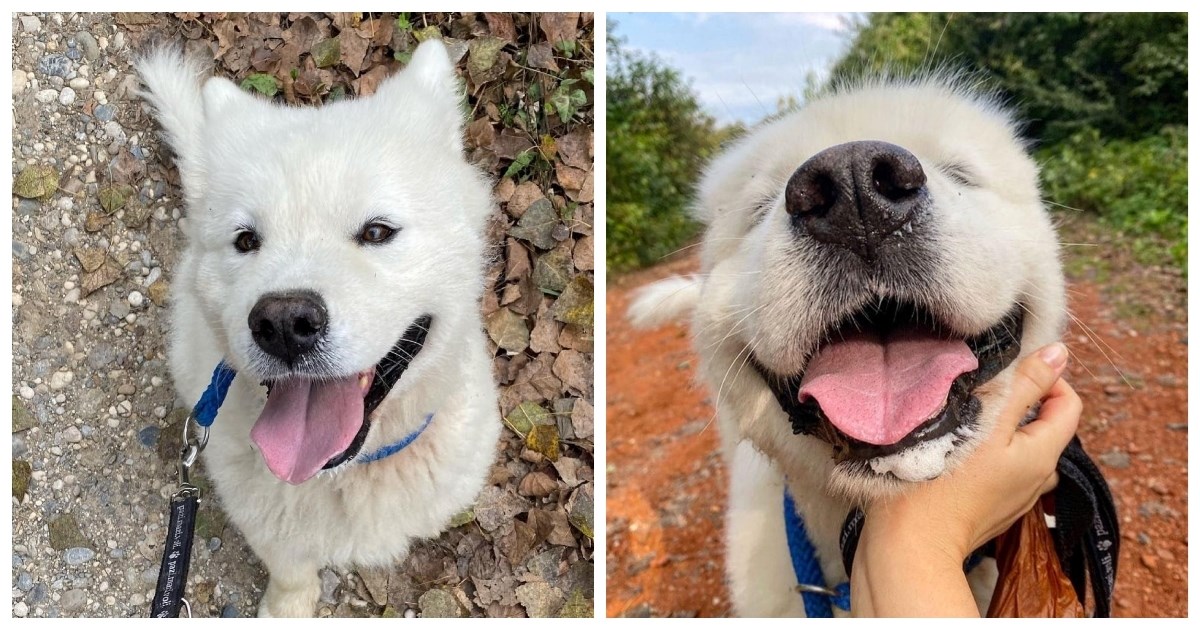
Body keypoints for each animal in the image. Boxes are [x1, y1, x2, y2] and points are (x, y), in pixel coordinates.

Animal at [137, 39, 501, 614]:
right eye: (246, 240)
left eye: (377, 231)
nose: (284, 322)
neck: (345, 471)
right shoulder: (266, 524)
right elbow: (290, 572)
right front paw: (285, 610)